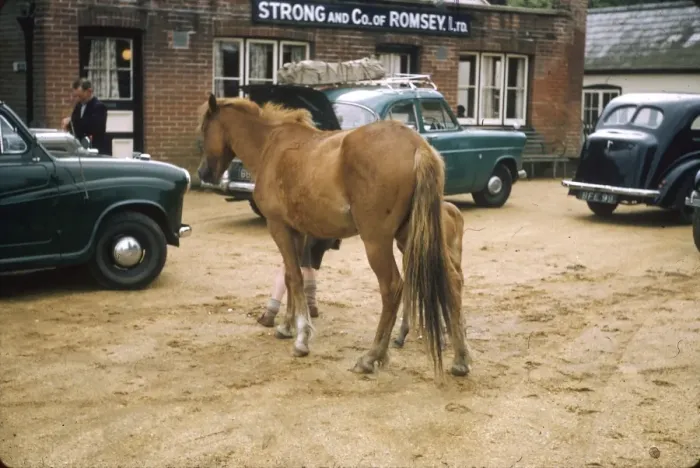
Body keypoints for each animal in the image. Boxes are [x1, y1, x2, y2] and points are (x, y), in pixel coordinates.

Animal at [197, 93, 470, 378]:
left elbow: (295, 278)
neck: (270, 147)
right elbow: (291, 276)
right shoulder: (297, 232)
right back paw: (460, 359)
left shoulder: (278, 227)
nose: (203, 173)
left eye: (204, 130)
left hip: (378, 242)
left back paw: (371, 356)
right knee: (452, 281)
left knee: (393, 288)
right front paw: (287, 326)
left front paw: (301, 338)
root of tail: (417, 146)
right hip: (413, 237)